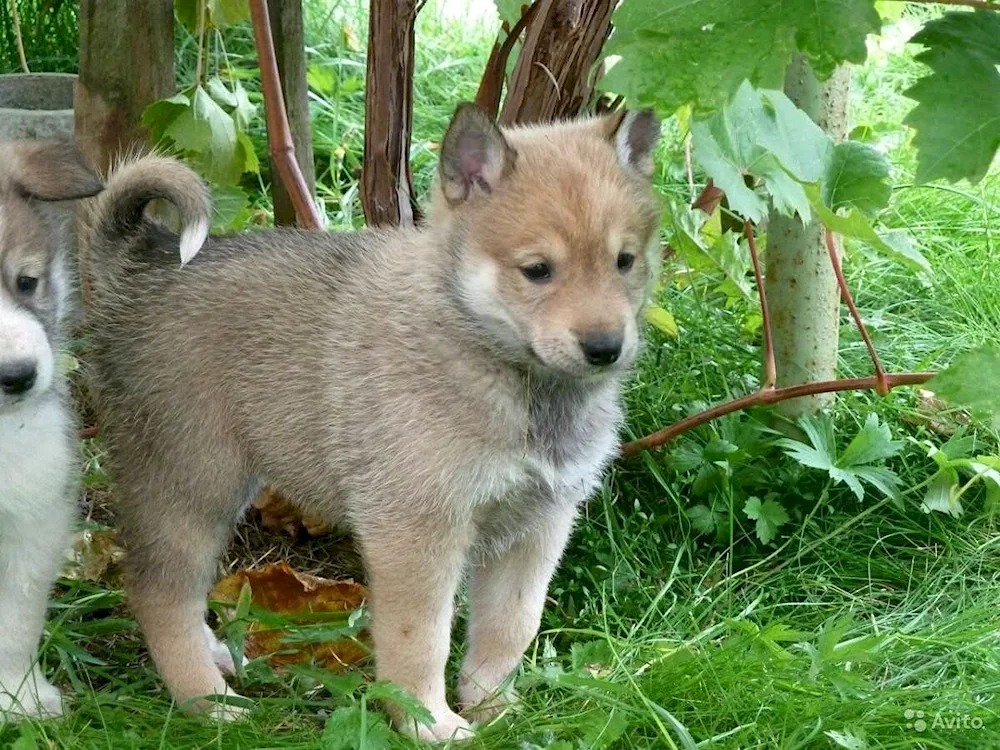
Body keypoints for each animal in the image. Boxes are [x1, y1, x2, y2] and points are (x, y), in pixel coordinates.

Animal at [84, 103, 664, 744]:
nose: (606, 348)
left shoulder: (538, 526)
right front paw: (429, 723)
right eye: (537, 270)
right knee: (159, 594)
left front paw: (496, 709)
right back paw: (207, 704)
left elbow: (511, 627)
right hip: (192, 487)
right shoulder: (417, 533)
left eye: (624, 261)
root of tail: (138, 266)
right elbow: (421, 641)